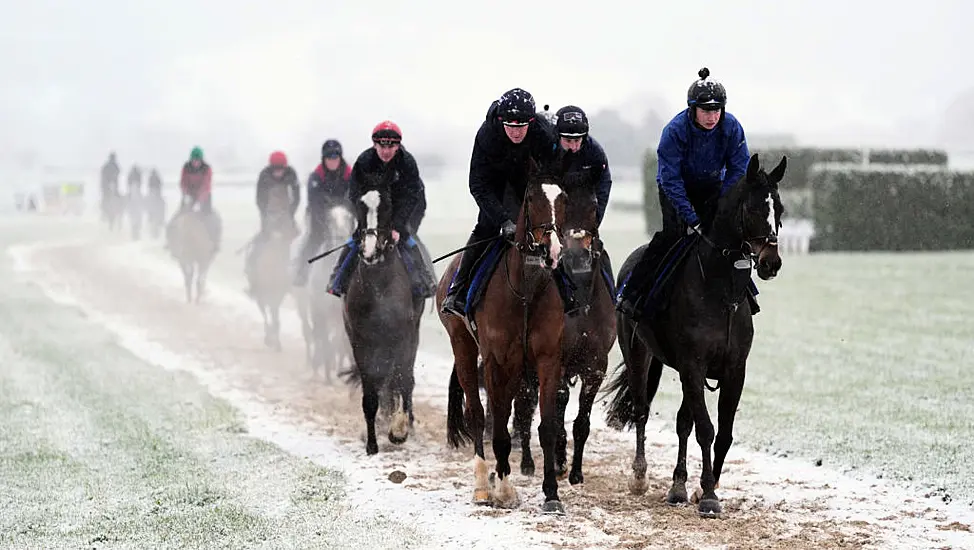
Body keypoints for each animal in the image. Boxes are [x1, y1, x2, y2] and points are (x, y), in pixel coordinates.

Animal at [298, 204, 362, 384]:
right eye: (329, 219)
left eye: (349, 218)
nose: (341, 238)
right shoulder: (320, 310)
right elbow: (326, 341)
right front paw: (327, 375)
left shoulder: (341, 315)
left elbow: (338, 342)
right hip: (305, 307)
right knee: (310, 333)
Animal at [344, 172, 424, 458]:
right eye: (359, 205)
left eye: (387, 206)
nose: (370, 250)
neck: (379, 285)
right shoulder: (361, 341)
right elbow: (370, 394)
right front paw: (371, 443)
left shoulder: (403, 336)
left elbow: (402, 378)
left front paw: (398, 430)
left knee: (405, 379)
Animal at [436, 158, 568, 516]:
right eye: (532, 199)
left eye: (563, 199)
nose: (552, 250)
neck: (525, 291)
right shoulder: (495, 361)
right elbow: (495, 427)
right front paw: (503, 491)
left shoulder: (547, 360)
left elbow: (546, 425)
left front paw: (551, 494)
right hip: (464, 347)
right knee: (477, 413)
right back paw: (484, 485)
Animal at [508, 169, 620, 488]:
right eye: (567, 207)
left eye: (594, 206)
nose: (577, 257)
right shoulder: (557, 363)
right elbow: (553, 411)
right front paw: (557, 462)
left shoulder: (595, 366)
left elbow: (581, 421)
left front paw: (576, 472)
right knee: (524, 408)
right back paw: (529, 462)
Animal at [608, 153, 788, 520]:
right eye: (752, 208)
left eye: (779, 208)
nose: (771, 262)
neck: (721, 292)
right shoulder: (693, 365)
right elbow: (706, 429)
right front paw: (708, 495)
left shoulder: (733, 369)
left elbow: (723, 433)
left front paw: (705, 486)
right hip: (637, 354)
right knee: (641, 409)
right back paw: (640, 475)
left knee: (681, 421)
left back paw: (677, 486)